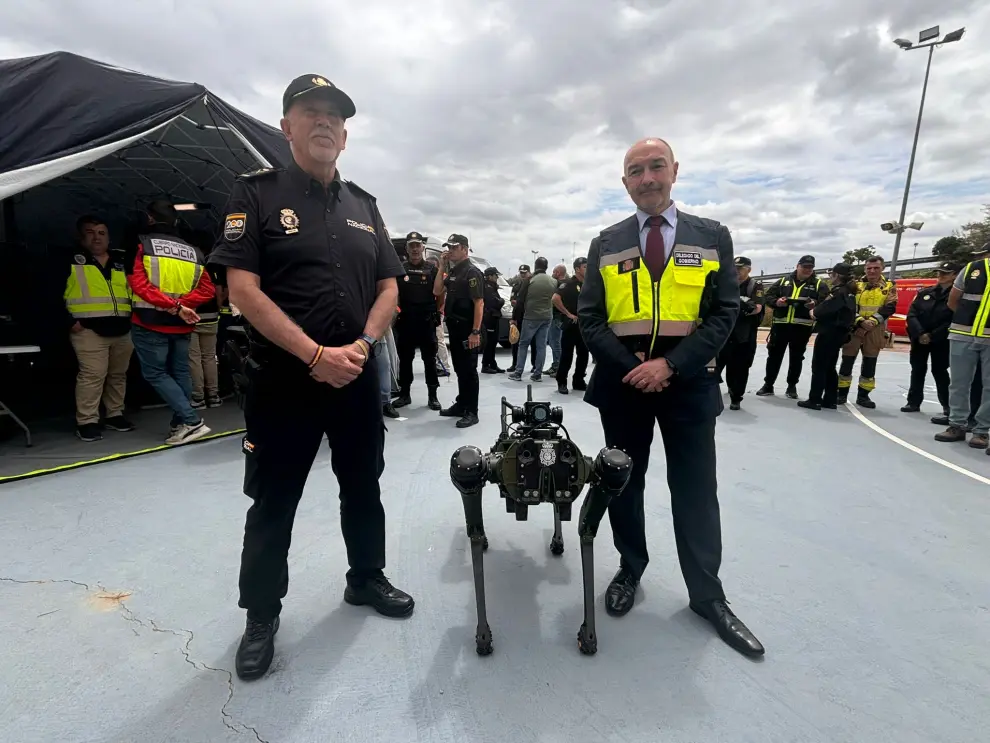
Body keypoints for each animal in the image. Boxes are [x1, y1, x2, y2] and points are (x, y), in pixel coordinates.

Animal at [448, 386, 632, 660]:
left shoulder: (594, 472)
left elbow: (586, 531)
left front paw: (588, 635)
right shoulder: (475, 470)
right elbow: (475, 533)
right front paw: (483, 637)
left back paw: (557, 541)